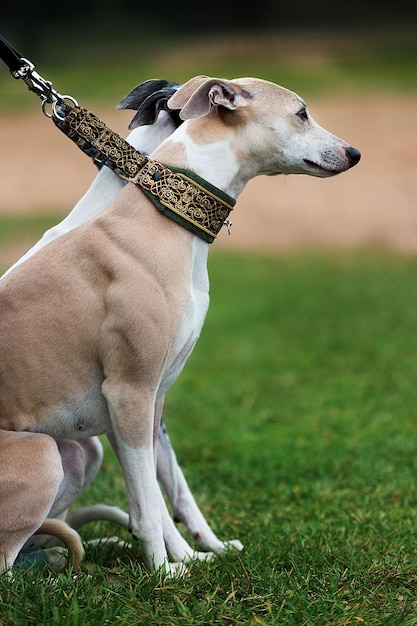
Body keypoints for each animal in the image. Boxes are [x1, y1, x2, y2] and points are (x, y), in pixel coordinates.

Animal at [0, 75, 358, 572]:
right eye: (301, 113)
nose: (354, 153)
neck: (164, 216)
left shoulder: (151, 400)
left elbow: (154, 492)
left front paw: (189, 557)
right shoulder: (129, 392)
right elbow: (149, 505)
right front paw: (164, 574)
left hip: (79, 449)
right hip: (40, 453)